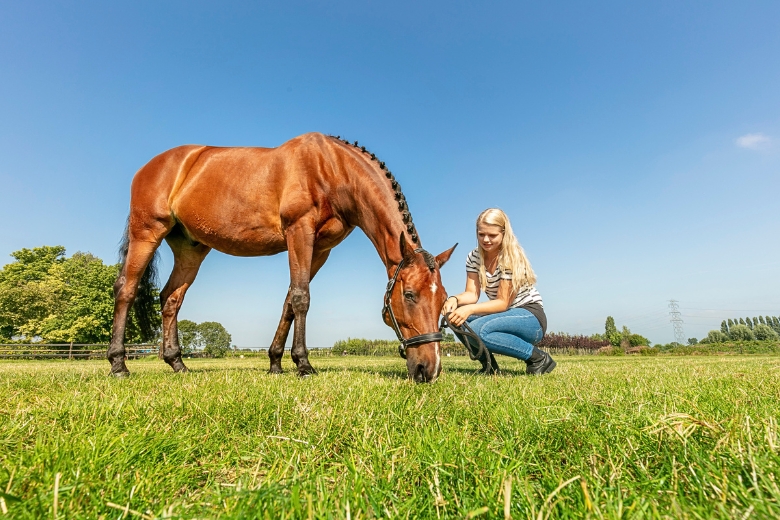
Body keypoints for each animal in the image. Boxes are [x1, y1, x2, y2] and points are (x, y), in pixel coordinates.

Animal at [110, 132, 457, 382]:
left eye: (443, 301)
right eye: (409, 295)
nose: (430, 369)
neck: (333, 169)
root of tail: (152, 166)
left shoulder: (320, 249)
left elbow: (290, 300)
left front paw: (276, 362)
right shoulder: (299, 232)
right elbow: (302, 298)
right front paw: (303, 364)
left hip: (190, 249)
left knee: (171, 299)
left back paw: (177, 363)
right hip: (147, 233)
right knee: (126, 289)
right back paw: (119, 365)